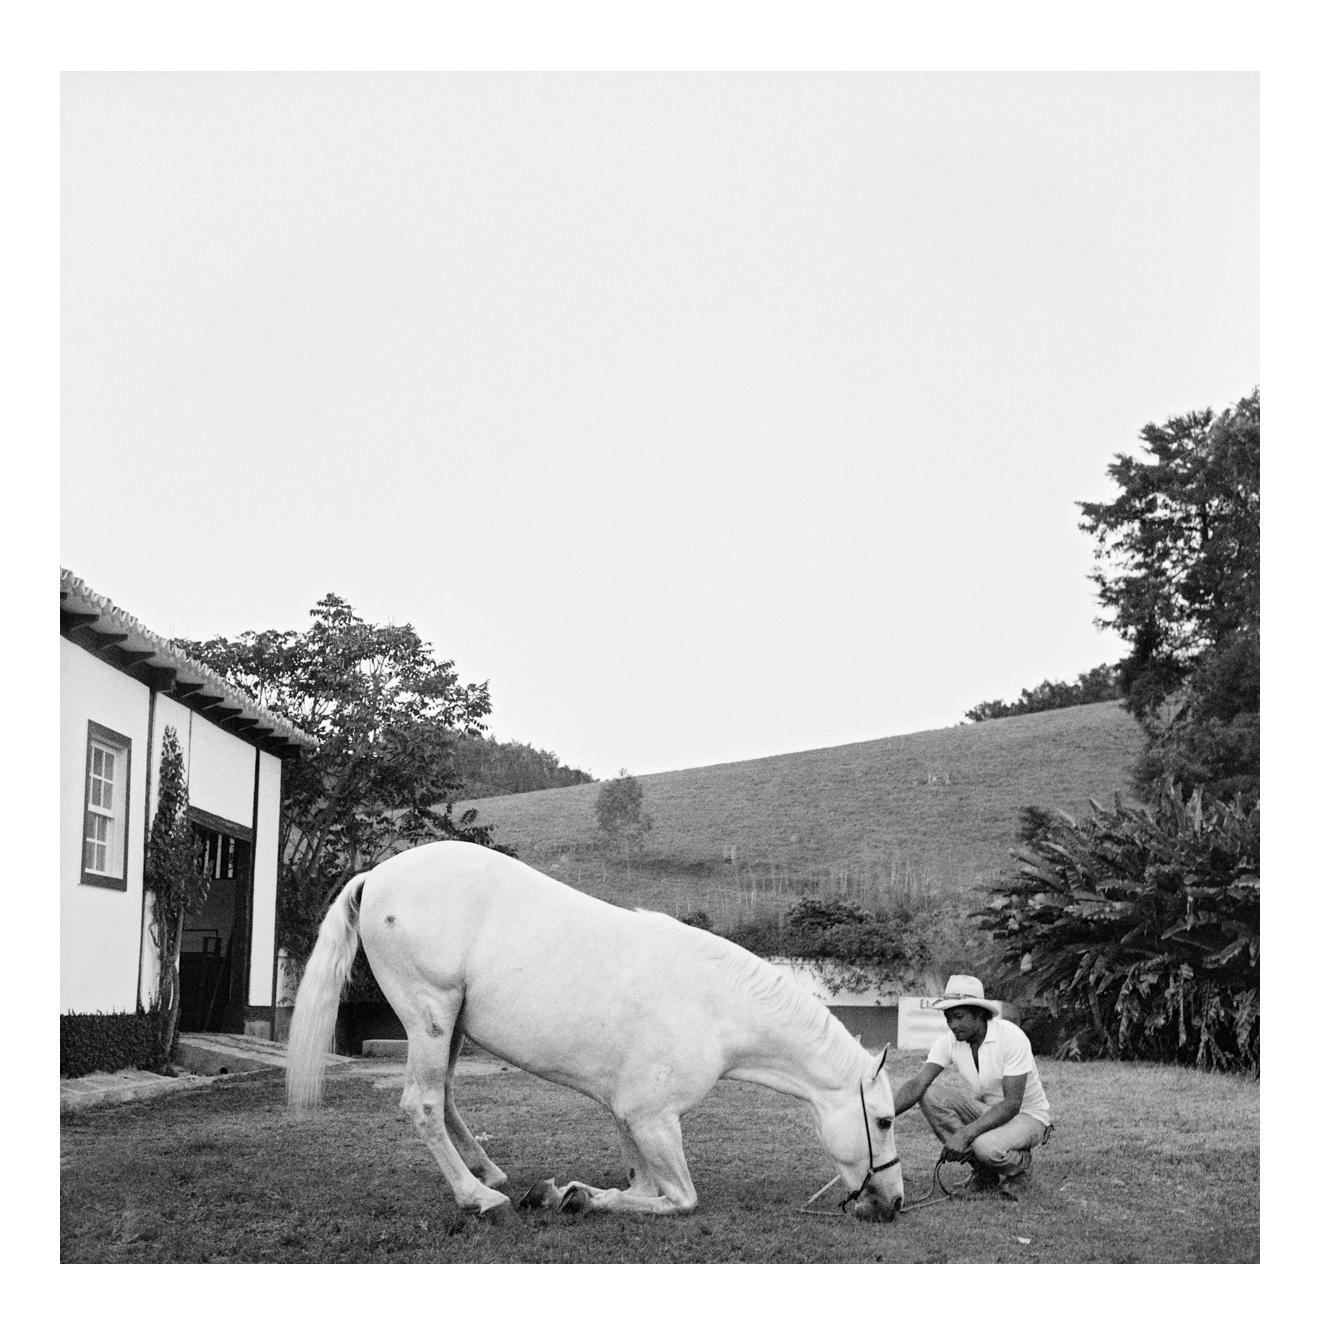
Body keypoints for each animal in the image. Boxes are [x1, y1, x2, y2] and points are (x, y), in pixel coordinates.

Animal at [285, 843, 907, 1222]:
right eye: (883, 1120)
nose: (894, 1201)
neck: (716, 1006)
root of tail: (378, 875)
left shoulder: (628, 1114)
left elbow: (642, 1186)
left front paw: (564, 1192)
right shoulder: (652, 1117)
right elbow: (678, 1199)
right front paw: (579, 1198)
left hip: (452, 1025)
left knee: (446, 1097)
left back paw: (490, 1171)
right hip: (430, 1015)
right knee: (422, 1103)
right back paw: (479, 1196)